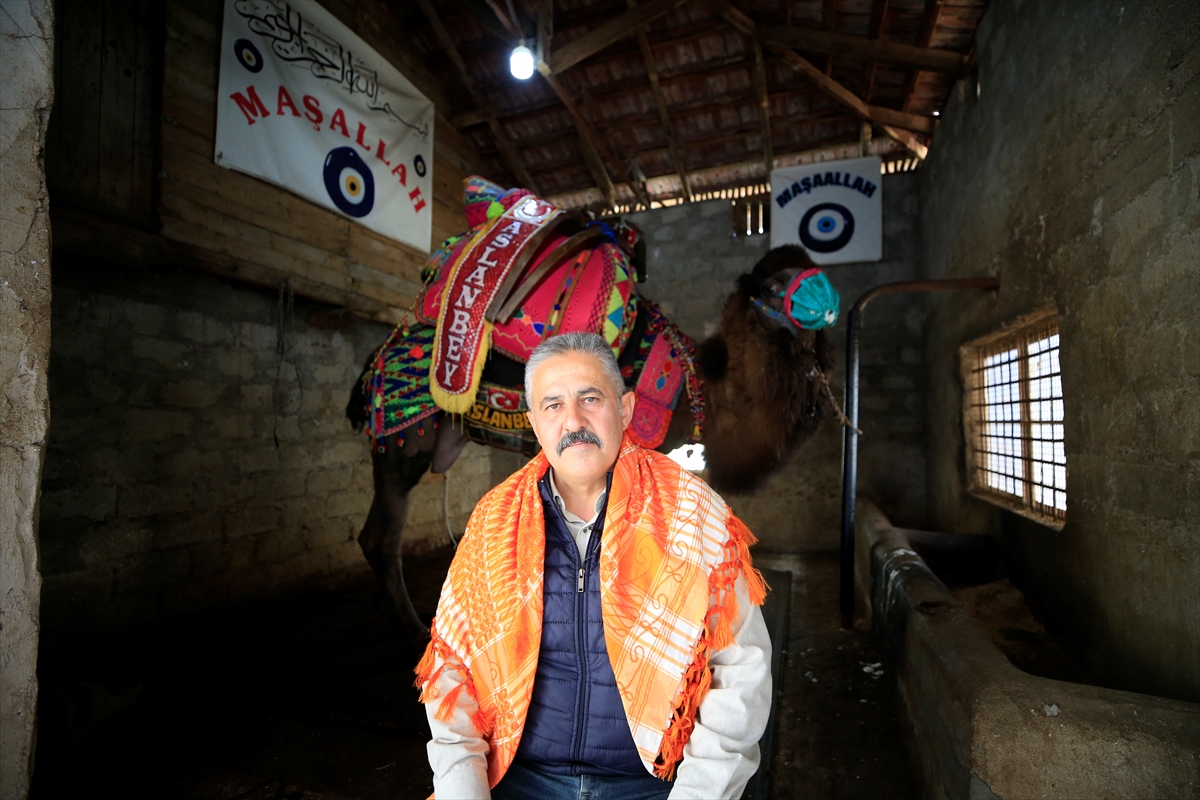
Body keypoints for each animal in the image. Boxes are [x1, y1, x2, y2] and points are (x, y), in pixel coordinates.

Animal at [348, 179, 835, 638]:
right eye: (773, 286)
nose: (828, 304)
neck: (698, 388)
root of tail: (376, 362)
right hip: (402, 440)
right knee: (382, 538)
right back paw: (412, 626)